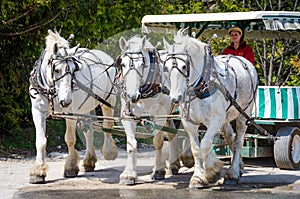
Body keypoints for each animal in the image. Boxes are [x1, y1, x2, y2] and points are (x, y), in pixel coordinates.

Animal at [28, 29, 117, 183]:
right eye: (56, 69)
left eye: (74, 69)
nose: (66, 101)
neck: (51, 90)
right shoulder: (38, 111)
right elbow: (40, 141)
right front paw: (38, 171)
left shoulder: (70, 113)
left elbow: (69, 139)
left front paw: (70, 167)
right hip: (86, 107)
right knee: (88, 129)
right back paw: (89, 161)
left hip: (109, 100)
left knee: (107, 125)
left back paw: (109, 151)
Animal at [116, 35, 193, 185]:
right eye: (123, 64)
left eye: (142, 64)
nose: (132, 96)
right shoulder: (127, 116)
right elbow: (131, 144)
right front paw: (128, 175)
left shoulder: (160, 116)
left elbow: (158, 142)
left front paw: (158, 170)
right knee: (172, 133)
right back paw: (173, 164)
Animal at [163, 29, 258, 188]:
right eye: (166, 67)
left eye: (184, 66)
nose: (175, 98)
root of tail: (245, 62)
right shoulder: (189, 123)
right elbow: (196, 149)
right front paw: (198, 177)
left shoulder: (215, 120)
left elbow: (205, 145)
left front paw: (209, 173)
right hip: (226, 117)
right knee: (230, 137)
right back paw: (239, 167)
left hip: (243, 114)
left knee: (238, 141)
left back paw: (233, 174)